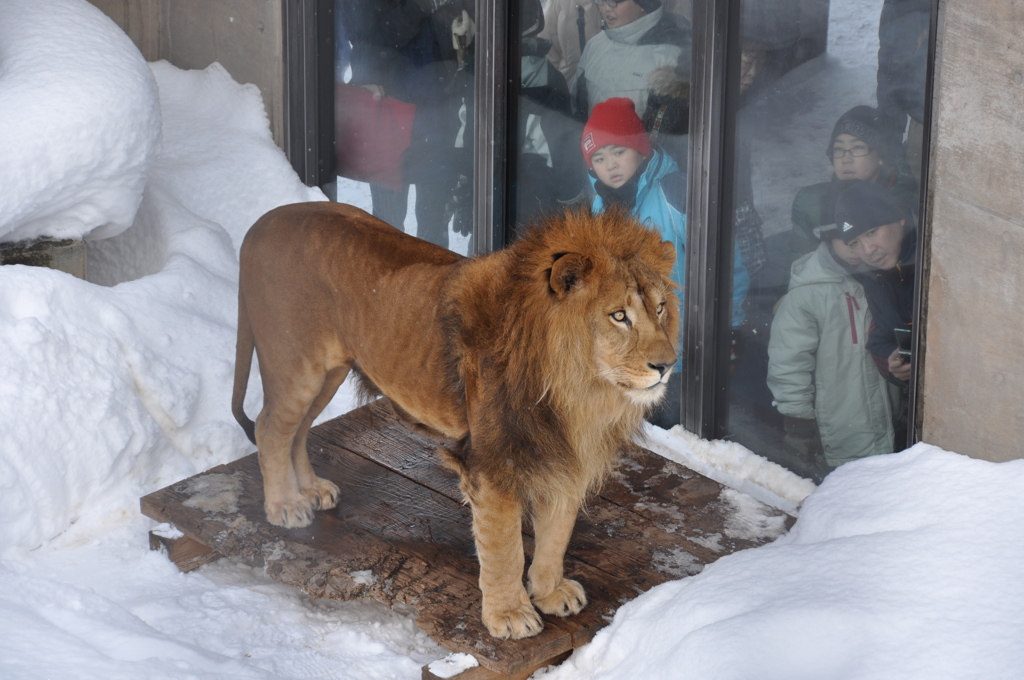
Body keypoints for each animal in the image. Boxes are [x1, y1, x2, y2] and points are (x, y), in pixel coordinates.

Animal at [233, 200, 679, 639]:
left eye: (659, 309)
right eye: (619, 316)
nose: (667, 366)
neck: (580, 392)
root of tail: (263, 222)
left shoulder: (566, 455)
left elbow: (557, 533)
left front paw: (551, 593)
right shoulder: (493, 463)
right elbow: (505, 548)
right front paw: (510, 615)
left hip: (330, 371)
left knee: (296, 432)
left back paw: (311, 491)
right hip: (295, 366)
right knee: (270, 428)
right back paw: (286, 506)